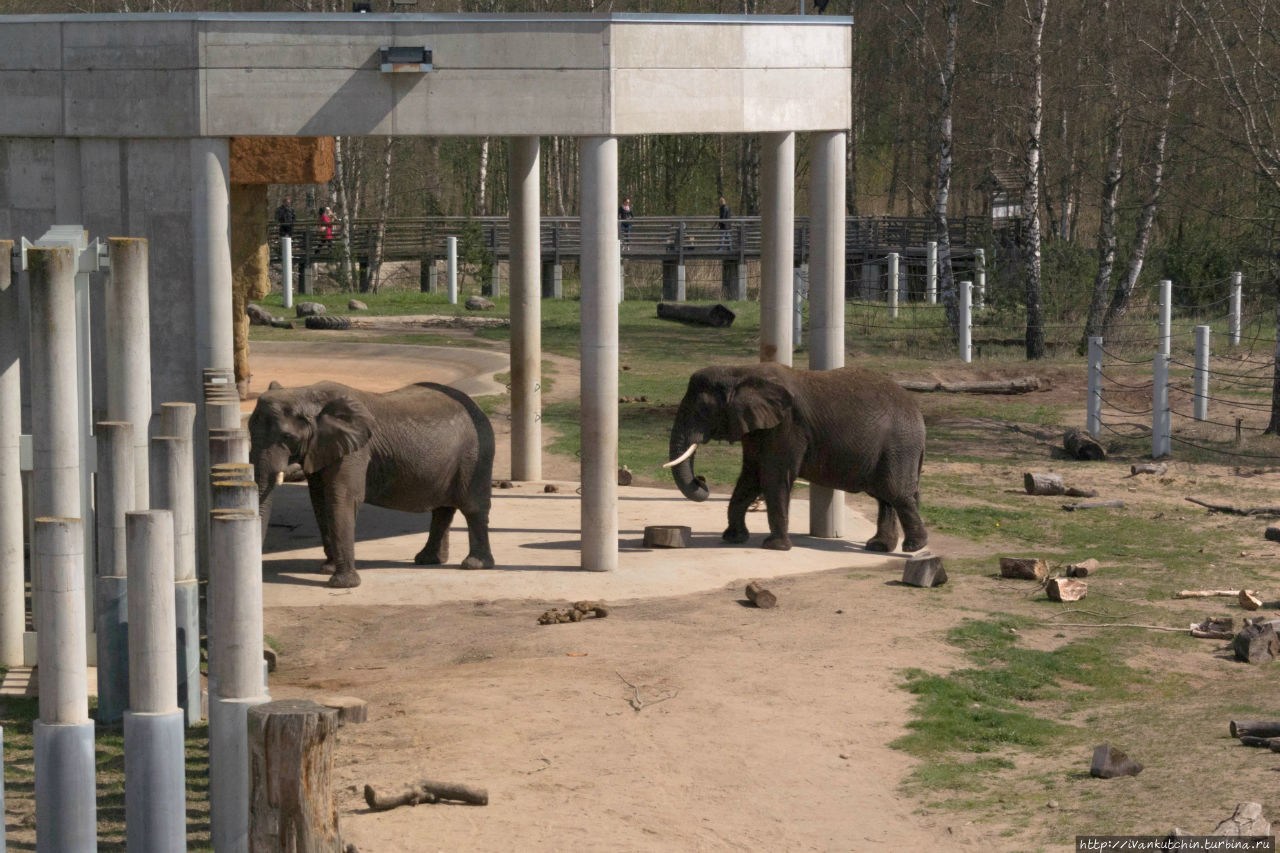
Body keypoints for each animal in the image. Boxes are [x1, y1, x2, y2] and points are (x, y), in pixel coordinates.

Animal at [248, 379, 494, 584]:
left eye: (287, 437)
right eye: (249, 431)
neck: (305, 393)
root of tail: (476, 406)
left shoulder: (355, 450)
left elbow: (343, 499)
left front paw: (342, 583)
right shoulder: (321, 448)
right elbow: (320, 502)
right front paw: (327, 570)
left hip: (475, 454)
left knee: (472, 507)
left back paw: (473, 565)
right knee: (442, 509)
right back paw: (428, 560)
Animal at [665, 363, 926, 550]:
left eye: (702, 410)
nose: (701, 479)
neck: (740, 372)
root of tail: (918, 413)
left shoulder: (787, 426)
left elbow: (774, 477)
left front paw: (774, 547)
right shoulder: (757, 427)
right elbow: (750, 477)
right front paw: (733, 539)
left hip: (899, 445)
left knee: (895, 492)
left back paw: (914, 547)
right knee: (885, 496)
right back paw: (880, 547)